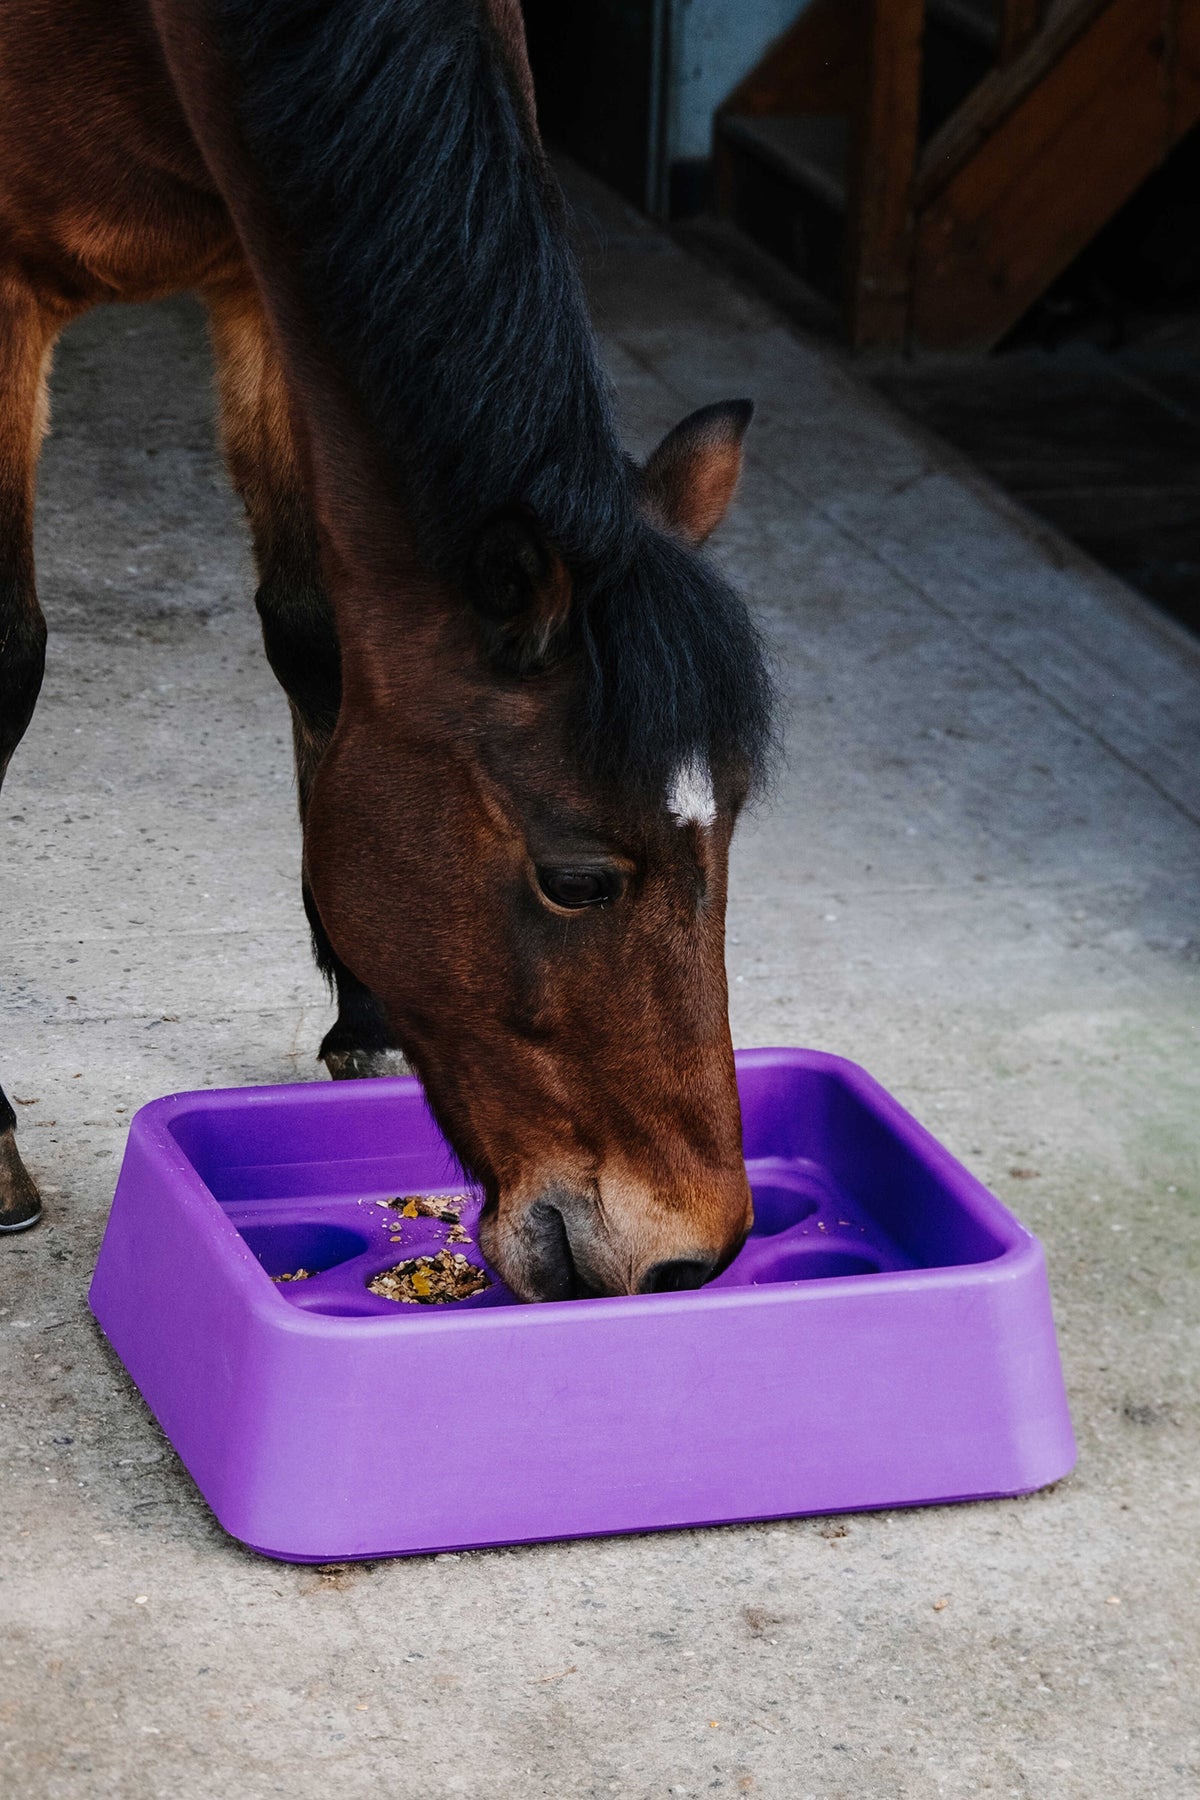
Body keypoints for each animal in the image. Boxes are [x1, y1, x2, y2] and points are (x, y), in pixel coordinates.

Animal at [0, 0, 775, 1299]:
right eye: (577, 879)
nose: (686, 1255)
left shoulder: (271, 270)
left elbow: (316, 637)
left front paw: (362, 1017)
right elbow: (8, 659)